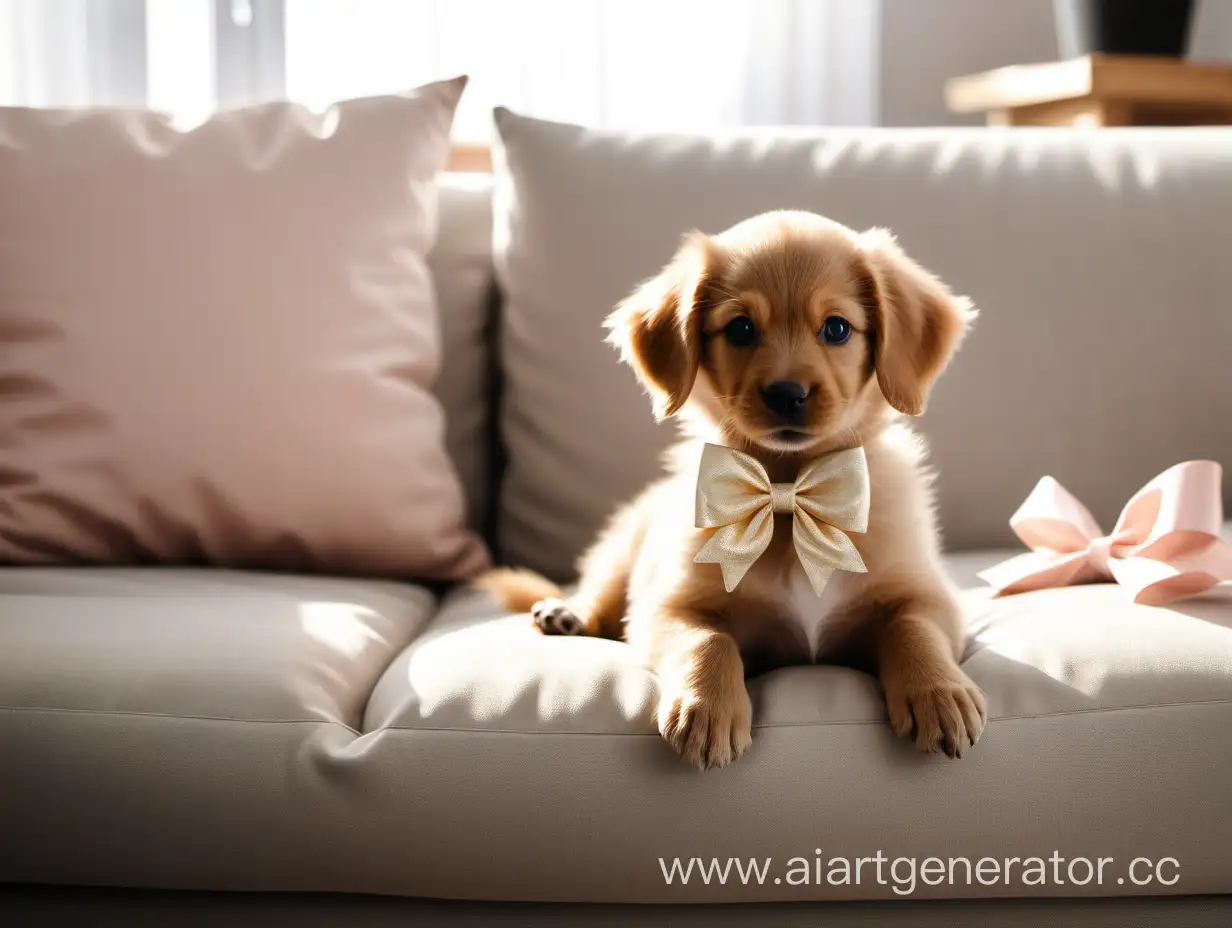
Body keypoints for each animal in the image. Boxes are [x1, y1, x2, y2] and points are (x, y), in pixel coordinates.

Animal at [475, 209, 985, 769]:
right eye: (740, 328)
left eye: (837, 328)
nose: (788, 394)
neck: (786, 494)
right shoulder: (668, 607)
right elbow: (709, 639)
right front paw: (706, 707)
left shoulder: (927, 597)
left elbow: (914, 630)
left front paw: (939, 693)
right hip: (624, 547)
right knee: (599, 593)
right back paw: (566, 614)